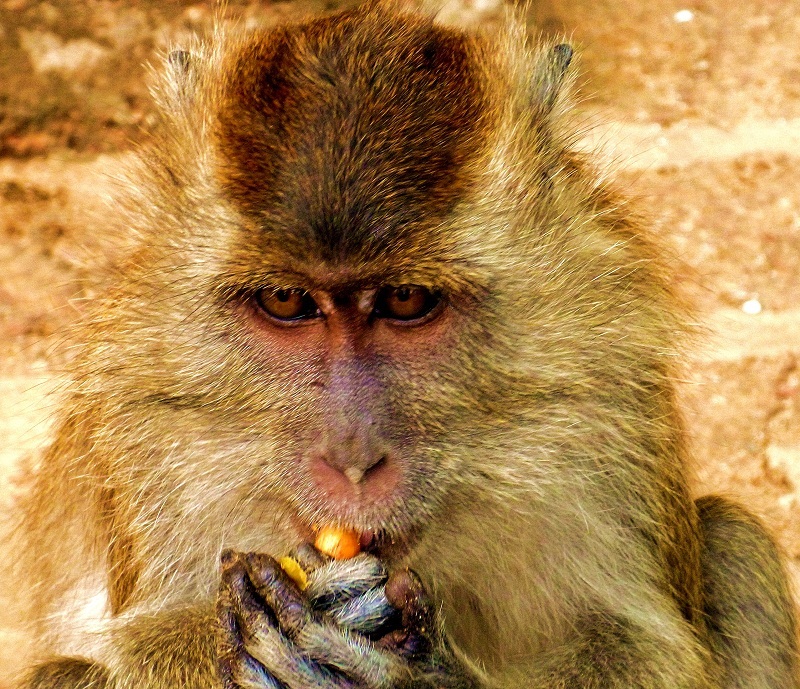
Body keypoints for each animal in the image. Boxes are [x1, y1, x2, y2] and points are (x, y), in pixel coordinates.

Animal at [12, 2, 799, 688]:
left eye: (407, 301)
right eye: (287, 301)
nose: (353, 460)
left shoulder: (609, 384)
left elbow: (633, 642)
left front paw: (427, 675)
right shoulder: (144, 417)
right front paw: (233, 627)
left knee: (735, 540)